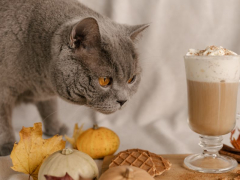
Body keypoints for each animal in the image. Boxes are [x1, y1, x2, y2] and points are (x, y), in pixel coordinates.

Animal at [0, 0, 148, 155]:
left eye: (131, 79)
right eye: (104, 80)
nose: (123, 101)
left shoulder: (45, 92)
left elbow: (49, 106)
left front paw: (55, 128)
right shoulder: (3, 89)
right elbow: (3, 118)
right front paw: (8, 145)